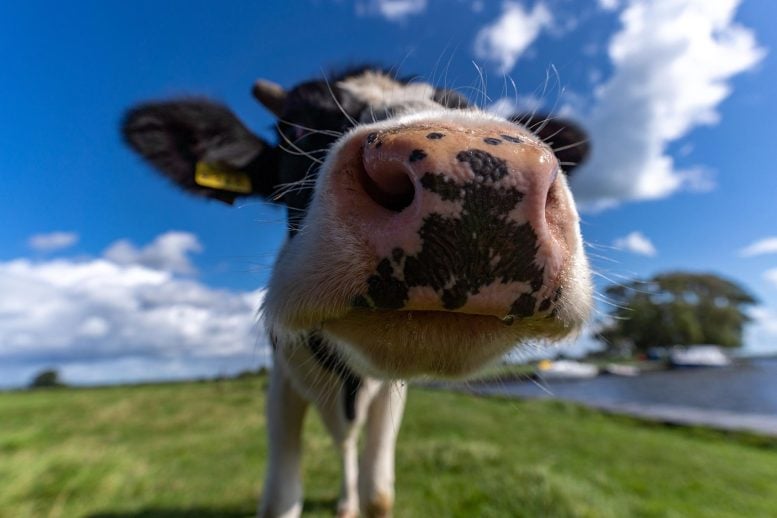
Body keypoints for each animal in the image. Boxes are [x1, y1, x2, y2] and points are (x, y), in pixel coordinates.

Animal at [121, 66, 592, 518]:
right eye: (295, 129)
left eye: (461, 104)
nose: (480, 182)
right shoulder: (282, 381)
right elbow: (281, 499)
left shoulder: (390, 392)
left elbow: (379, 494)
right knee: (343, 442)